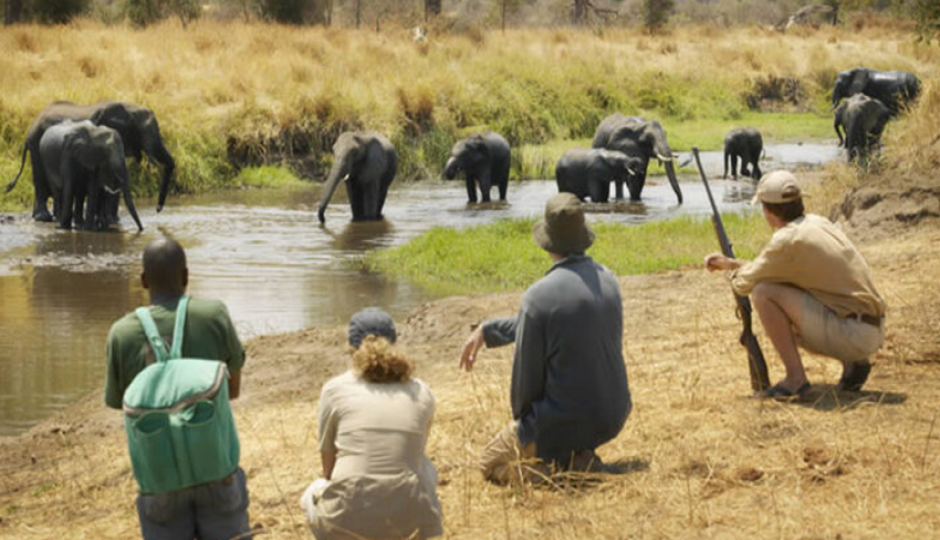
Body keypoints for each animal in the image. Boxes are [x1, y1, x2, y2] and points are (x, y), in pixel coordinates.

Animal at [4, 100, 174, 223]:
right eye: (144, 132)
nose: (158, 209)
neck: (129, 106)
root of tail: (30, 128)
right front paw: (109, 221)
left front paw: (112, 221)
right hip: (36, 146)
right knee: (40, 179)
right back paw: (44, 218)